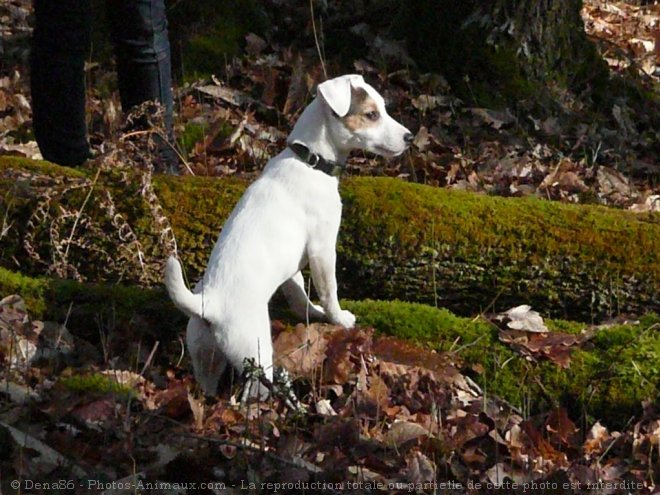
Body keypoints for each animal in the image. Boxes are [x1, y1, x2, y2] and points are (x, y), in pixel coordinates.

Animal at [166, 74, 412, 400]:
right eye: (372, 115)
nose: (410, 137)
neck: (309, 160)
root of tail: (209, 305)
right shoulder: (322, 249)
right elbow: (329, 291)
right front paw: (339, 318)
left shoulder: (294, 264)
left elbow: (299, 294)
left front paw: (312, 312)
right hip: (254, 351)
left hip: (203, 353)